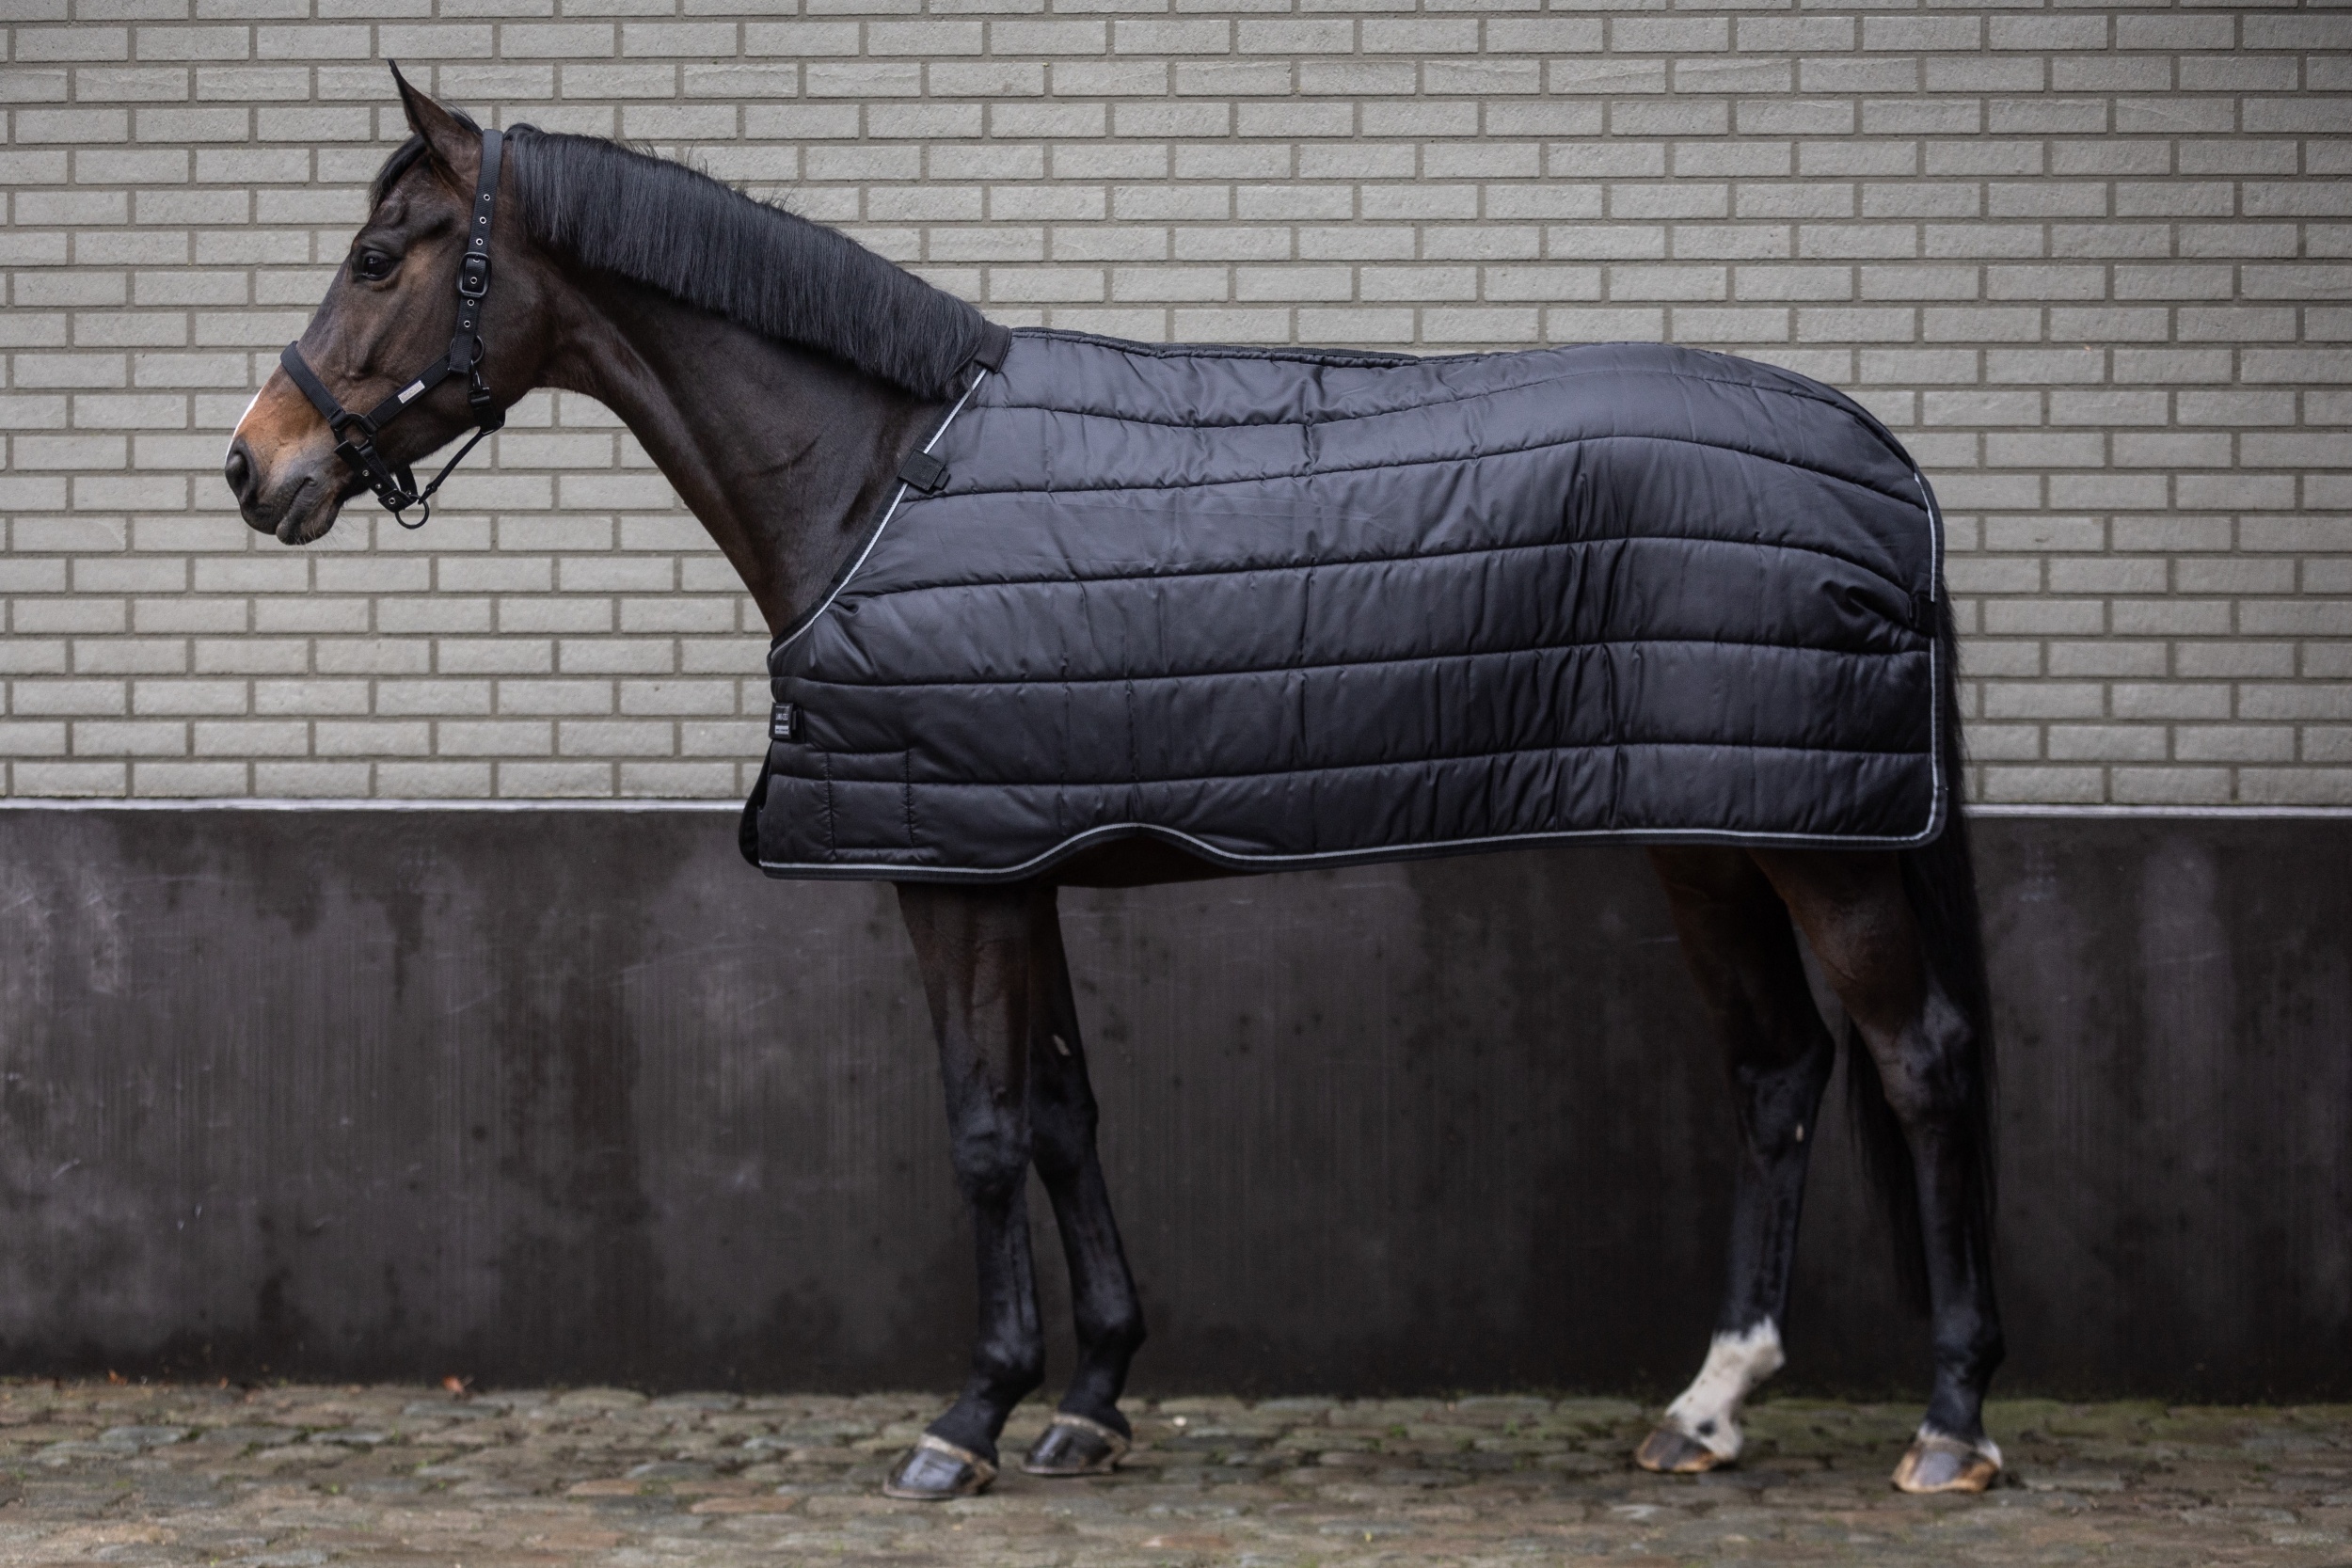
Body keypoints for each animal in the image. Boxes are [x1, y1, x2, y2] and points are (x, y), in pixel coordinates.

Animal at [225, 73, 2004, 1499]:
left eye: (381, 255)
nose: (256, 466)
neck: (881, 471)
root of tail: (1891, 463)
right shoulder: (1017, 853)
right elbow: (1070, 1115)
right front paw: (1089, 1399)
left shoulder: (951, 875)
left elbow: (987, 1128)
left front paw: (967, 1419)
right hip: (1713, 831)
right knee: (1776, 1070)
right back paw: (1707, 1405)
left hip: (1817, 846)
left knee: (1916, 1060)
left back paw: (1952, 1423)